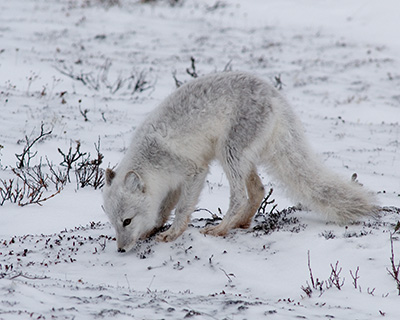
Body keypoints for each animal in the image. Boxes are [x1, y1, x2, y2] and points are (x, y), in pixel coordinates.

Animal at [103, 70, 378, 252]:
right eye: (114, 224)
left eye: (127, 221)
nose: (121, 249)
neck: (150, 159)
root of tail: (275, 94)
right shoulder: (172, 185)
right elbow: (163, 210)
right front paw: (154, 229)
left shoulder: (193, 171)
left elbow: (182, 209)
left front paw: (172, 233)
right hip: (243, 157)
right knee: (258, 190)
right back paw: (241, 223)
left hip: (229, 153)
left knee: (239, 196)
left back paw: (222, 228)